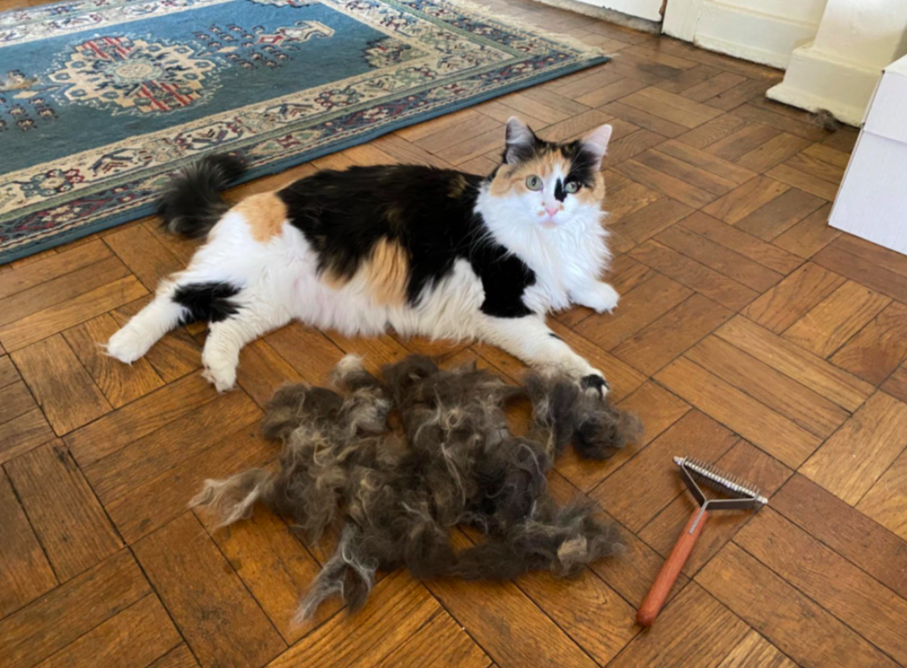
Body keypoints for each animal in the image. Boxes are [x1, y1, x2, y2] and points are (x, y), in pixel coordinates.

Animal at [104, 117, 616, 394]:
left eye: (571, 186)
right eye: (534, 182)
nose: (553, 206)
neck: (549, 238)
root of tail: (259, 198)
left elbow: (574, 281)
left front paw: (599, 293)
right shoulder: (503, 307)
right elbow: (555, 348)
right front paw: (590, 378)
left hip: (267, 300)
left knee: (221, 323)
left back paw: (220, 372)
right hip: (239, 268)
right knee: (174, 293)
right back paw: (124, 346)